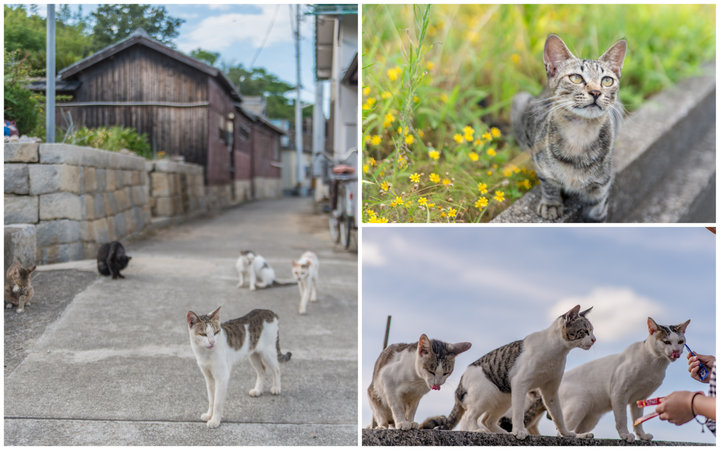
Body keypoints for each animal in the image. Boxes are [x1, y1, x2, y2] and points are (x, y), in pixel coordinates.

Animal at [420, 306, 592, 440]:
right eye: (584, 331)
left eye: (592, 331)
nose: (594, 339)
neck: (557, 352)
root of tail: (459, 385)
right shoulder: (520, 383)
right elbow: (518, 413)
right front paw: (519, 431)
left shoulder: (550, 390)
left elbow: (558, 415)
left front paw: (568, 434)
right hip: (486, 394)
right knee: (470, 417)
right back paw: (478, 430)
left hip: (504, 397)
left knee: (487, 420)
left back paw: (501, 433)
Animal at [512, 33, 624, 221]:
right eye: (576, 78)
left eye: (607, 81)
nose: (596, 92)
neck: (580, 136)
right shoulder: (540, 162)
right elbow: (549, 183)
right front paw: (551, 203)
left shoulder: (600, 189)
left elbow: (597, 213)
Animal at [524, 318, 688, 442]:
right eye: (666, 342)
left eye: (680, 342)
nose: (676, 351)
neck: (654, 364)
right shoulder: (619, 393)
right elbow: (622, 419)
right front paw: (625, 435)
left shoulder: (639, 399)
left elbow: (638, 421)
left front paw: (641, 436)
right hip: (579, 404)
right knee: (562, 432)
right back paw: (580, 436)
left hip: (590, 418)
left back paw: (584, 435)